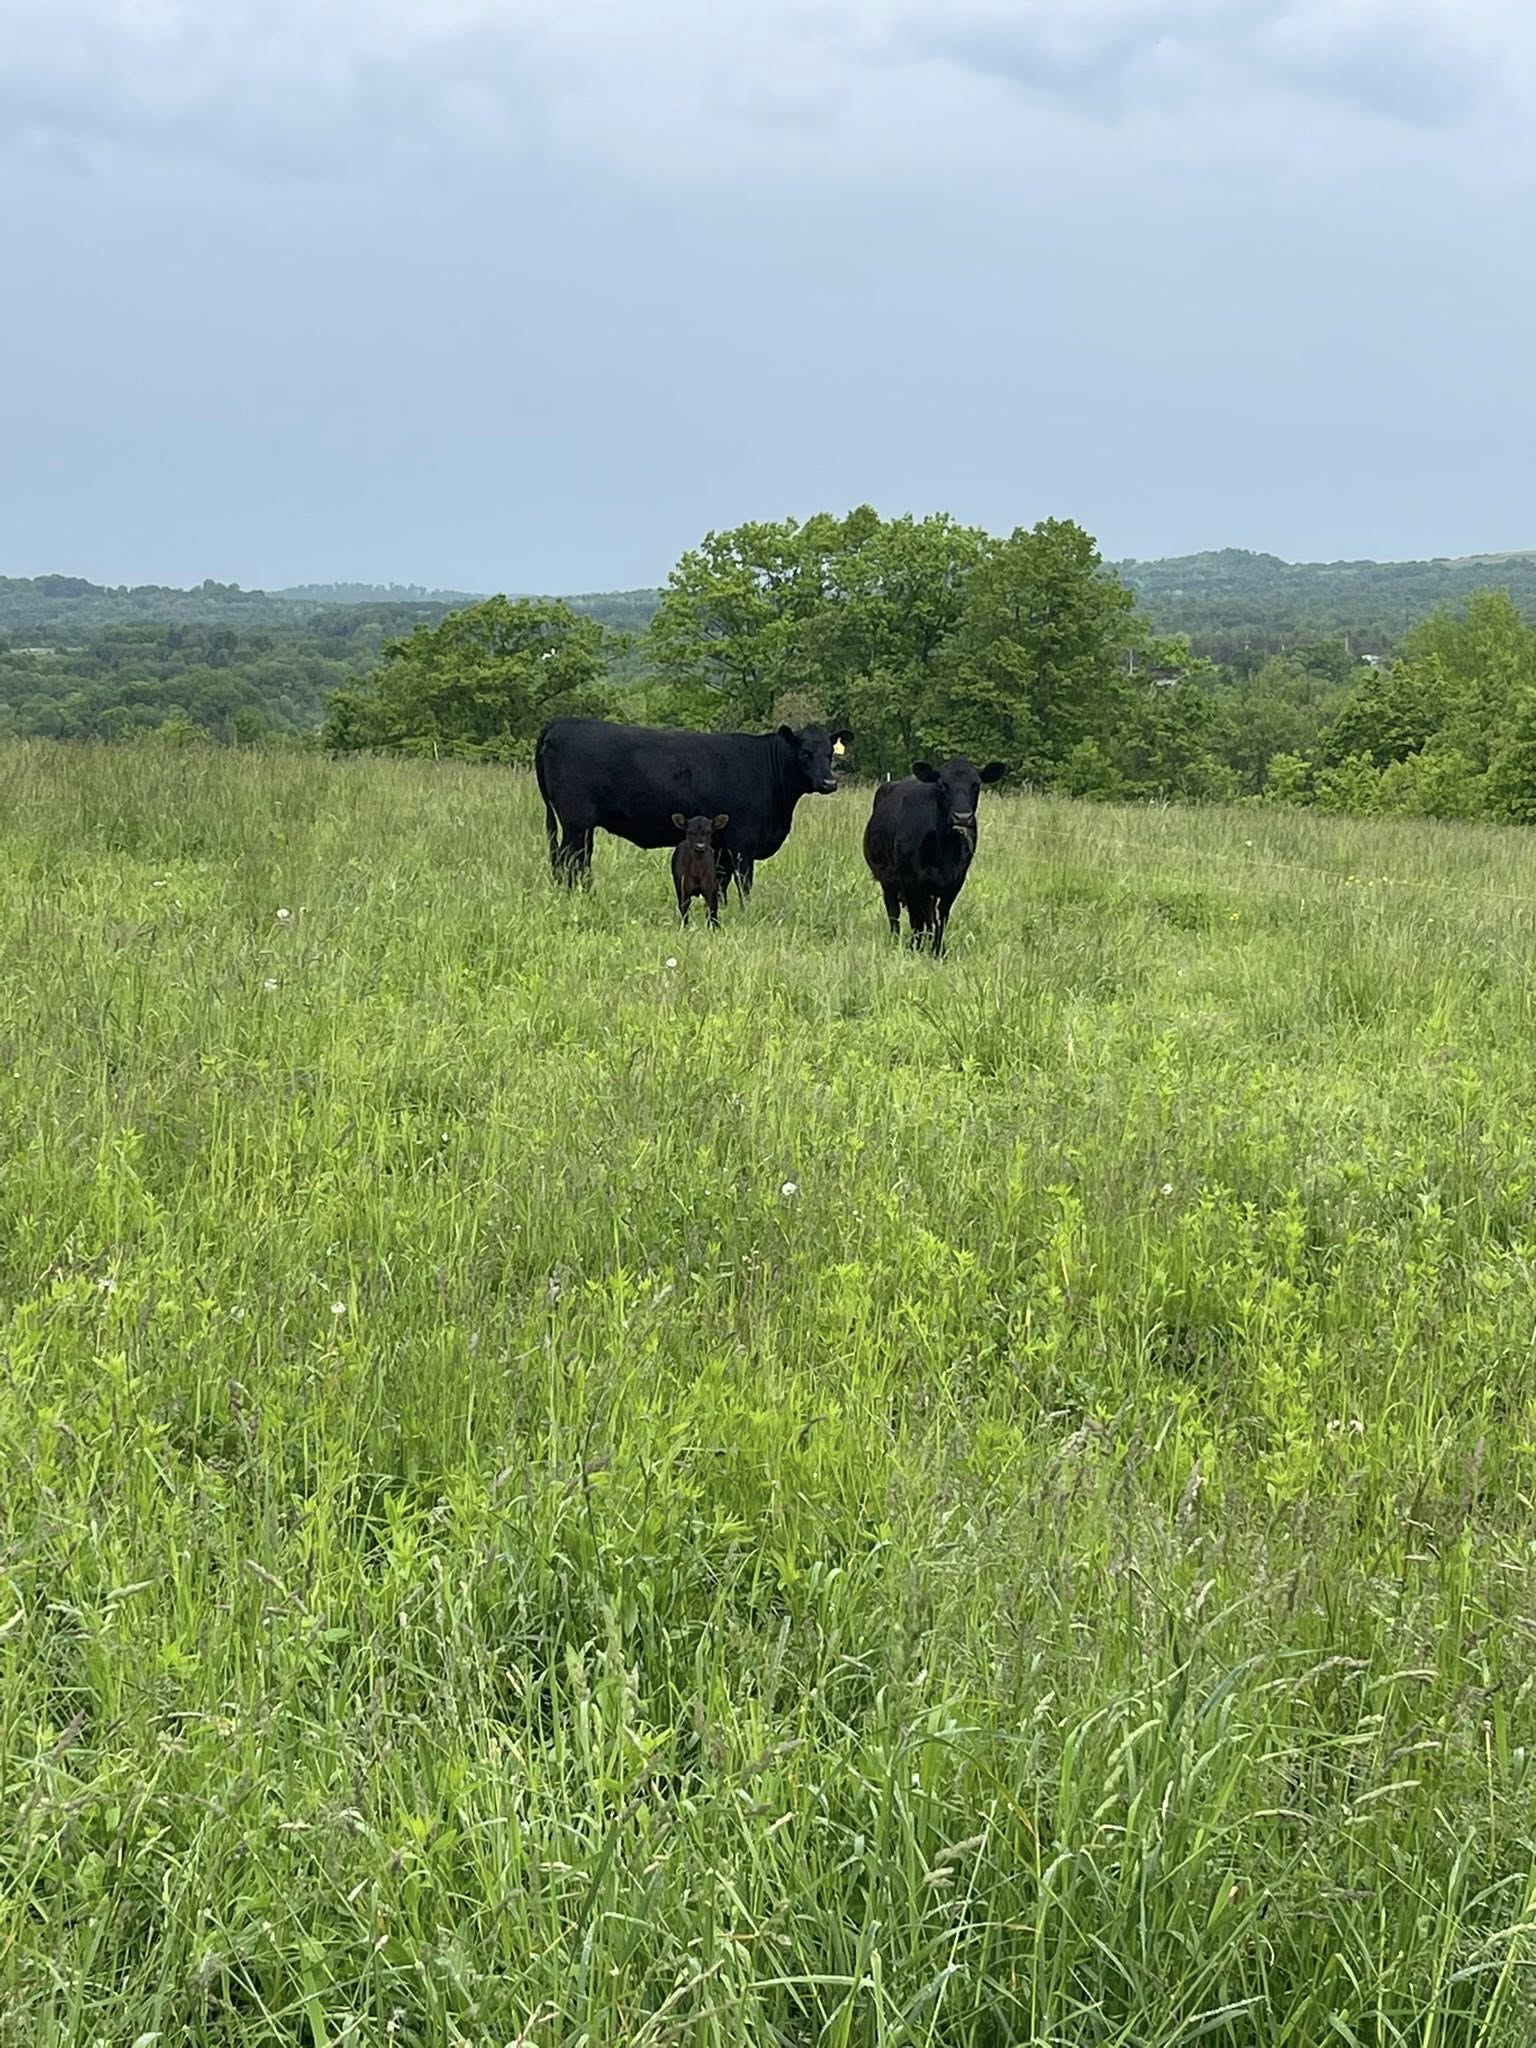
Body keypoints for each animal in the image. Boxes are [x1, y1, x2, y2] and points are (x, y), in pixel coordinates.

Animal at [534, 717, 854, 896]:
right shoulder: (742, 842)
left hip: (582, 826)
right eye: (805, 752)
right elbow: (744, 883)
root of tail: (561, 722)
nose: (829, 782)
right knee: (570, 860)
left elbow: (722, 883)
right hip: (576, 822)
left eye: (830, 753)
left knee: (576, 859)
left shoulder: (723, 843)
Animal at [862, 757, 1007, 957]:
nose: (962, 817)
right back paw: (896, 940)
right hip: (887, 880)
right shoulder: (911, 881)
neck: (943, 849)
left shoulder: (955, 882)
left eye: (976, 784)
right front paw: (915, 947)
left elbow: (941, 917)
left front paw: (938, 950)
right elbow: (917, 918)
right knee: (894, 912)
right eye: (942, 785)